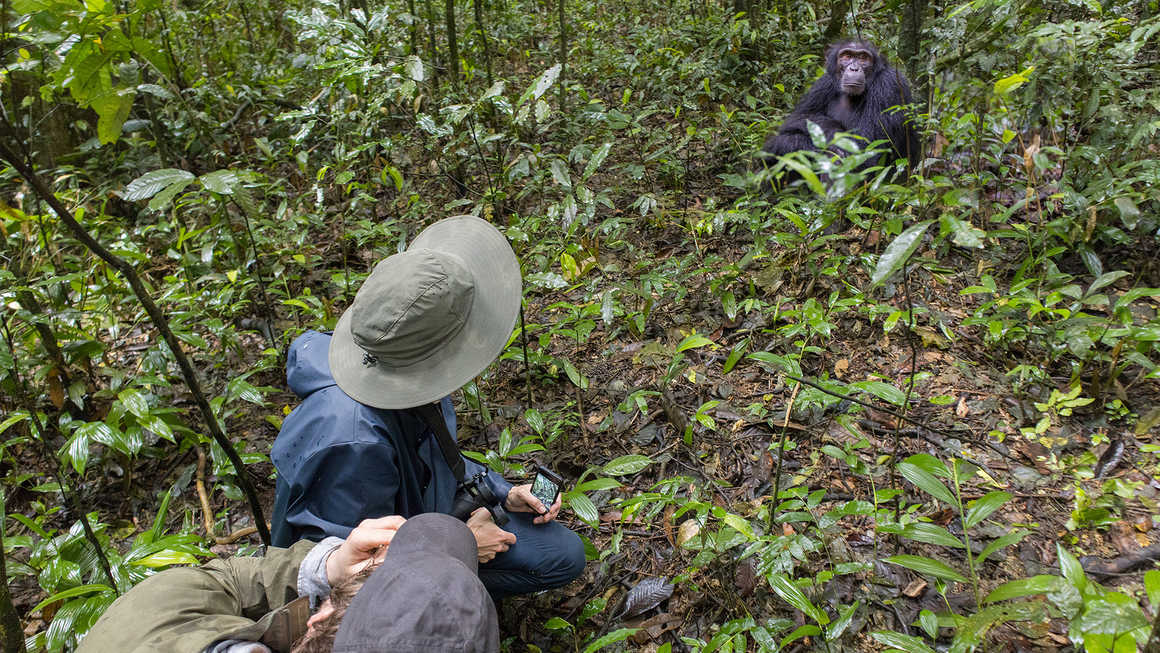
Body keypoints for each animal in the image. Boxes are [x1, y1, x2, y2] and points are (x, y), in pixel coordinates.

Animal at [760, 40, 923, 184]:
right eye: (846, 56)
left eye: (863, 58)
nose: (854, 68)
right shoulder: (823, 83)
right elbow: (799, 117)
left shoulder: (889, 87)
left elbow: (866, 148)